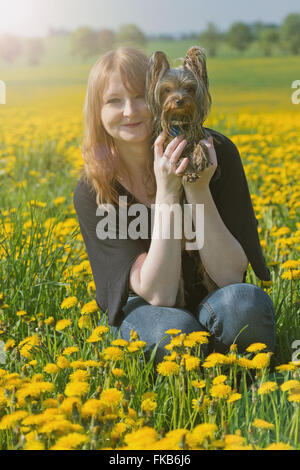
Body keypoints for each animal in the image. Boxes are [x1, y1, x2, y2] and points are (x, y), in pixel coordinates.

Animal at [145, 46, 218, 306]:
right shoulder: (167, 143)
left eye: (189, 88)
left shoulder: (199, 136)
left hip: (205, 267)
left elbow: (201, 144)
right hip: (178, 277)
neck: (181, 121)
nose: (178, 100)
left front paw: (198, 159)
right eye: (167, 89)